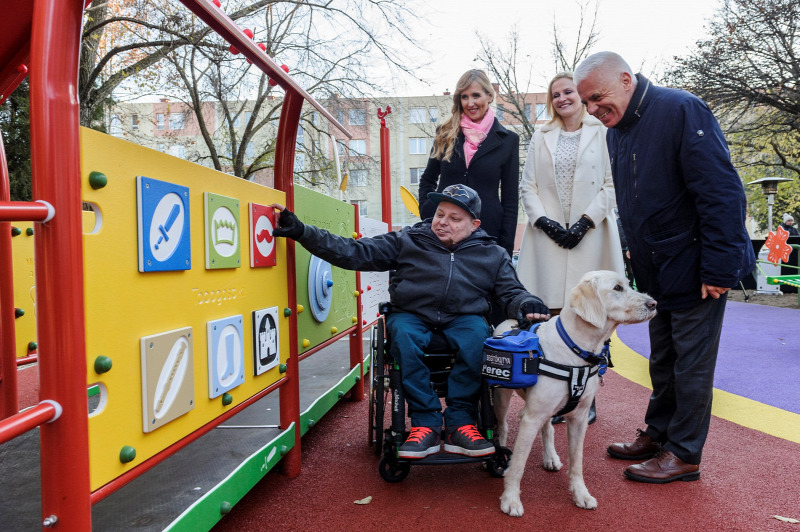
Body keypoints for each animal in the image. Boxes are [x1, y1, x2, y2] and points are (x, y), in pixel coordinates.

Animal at [494, 270, 656, 516]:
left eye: (629, 284)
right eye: (617, 288)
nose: (653, 303)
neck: (575, 351)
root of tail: (509, 321)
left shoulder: (579, 419)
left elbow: (577, 462)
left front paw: (581, 494)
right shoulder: (531, 419)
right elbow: (519, 464)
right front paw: (510, 498)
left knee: (548, 428)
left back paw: (550, 457)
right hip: (501, 396)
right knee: (502, 427)